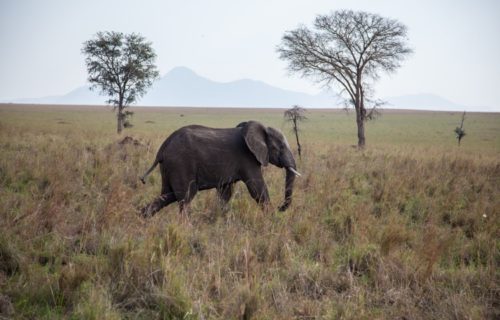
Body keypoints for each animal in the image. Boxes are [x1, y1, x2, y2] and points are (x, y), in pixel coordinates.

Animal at [139, 120, 298, 218]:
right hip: (180, 163)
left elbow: (225, 194)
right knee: (185, 197)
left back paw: (142, 217)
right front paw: (272, 218)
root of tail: (163, 146)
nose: (280, 207)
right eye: (280, 147)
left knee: (167, 195)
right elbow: (257, 189)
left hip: (169, 166)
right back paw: (187, 228)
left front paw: (221, 218)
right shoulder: (248, 158)